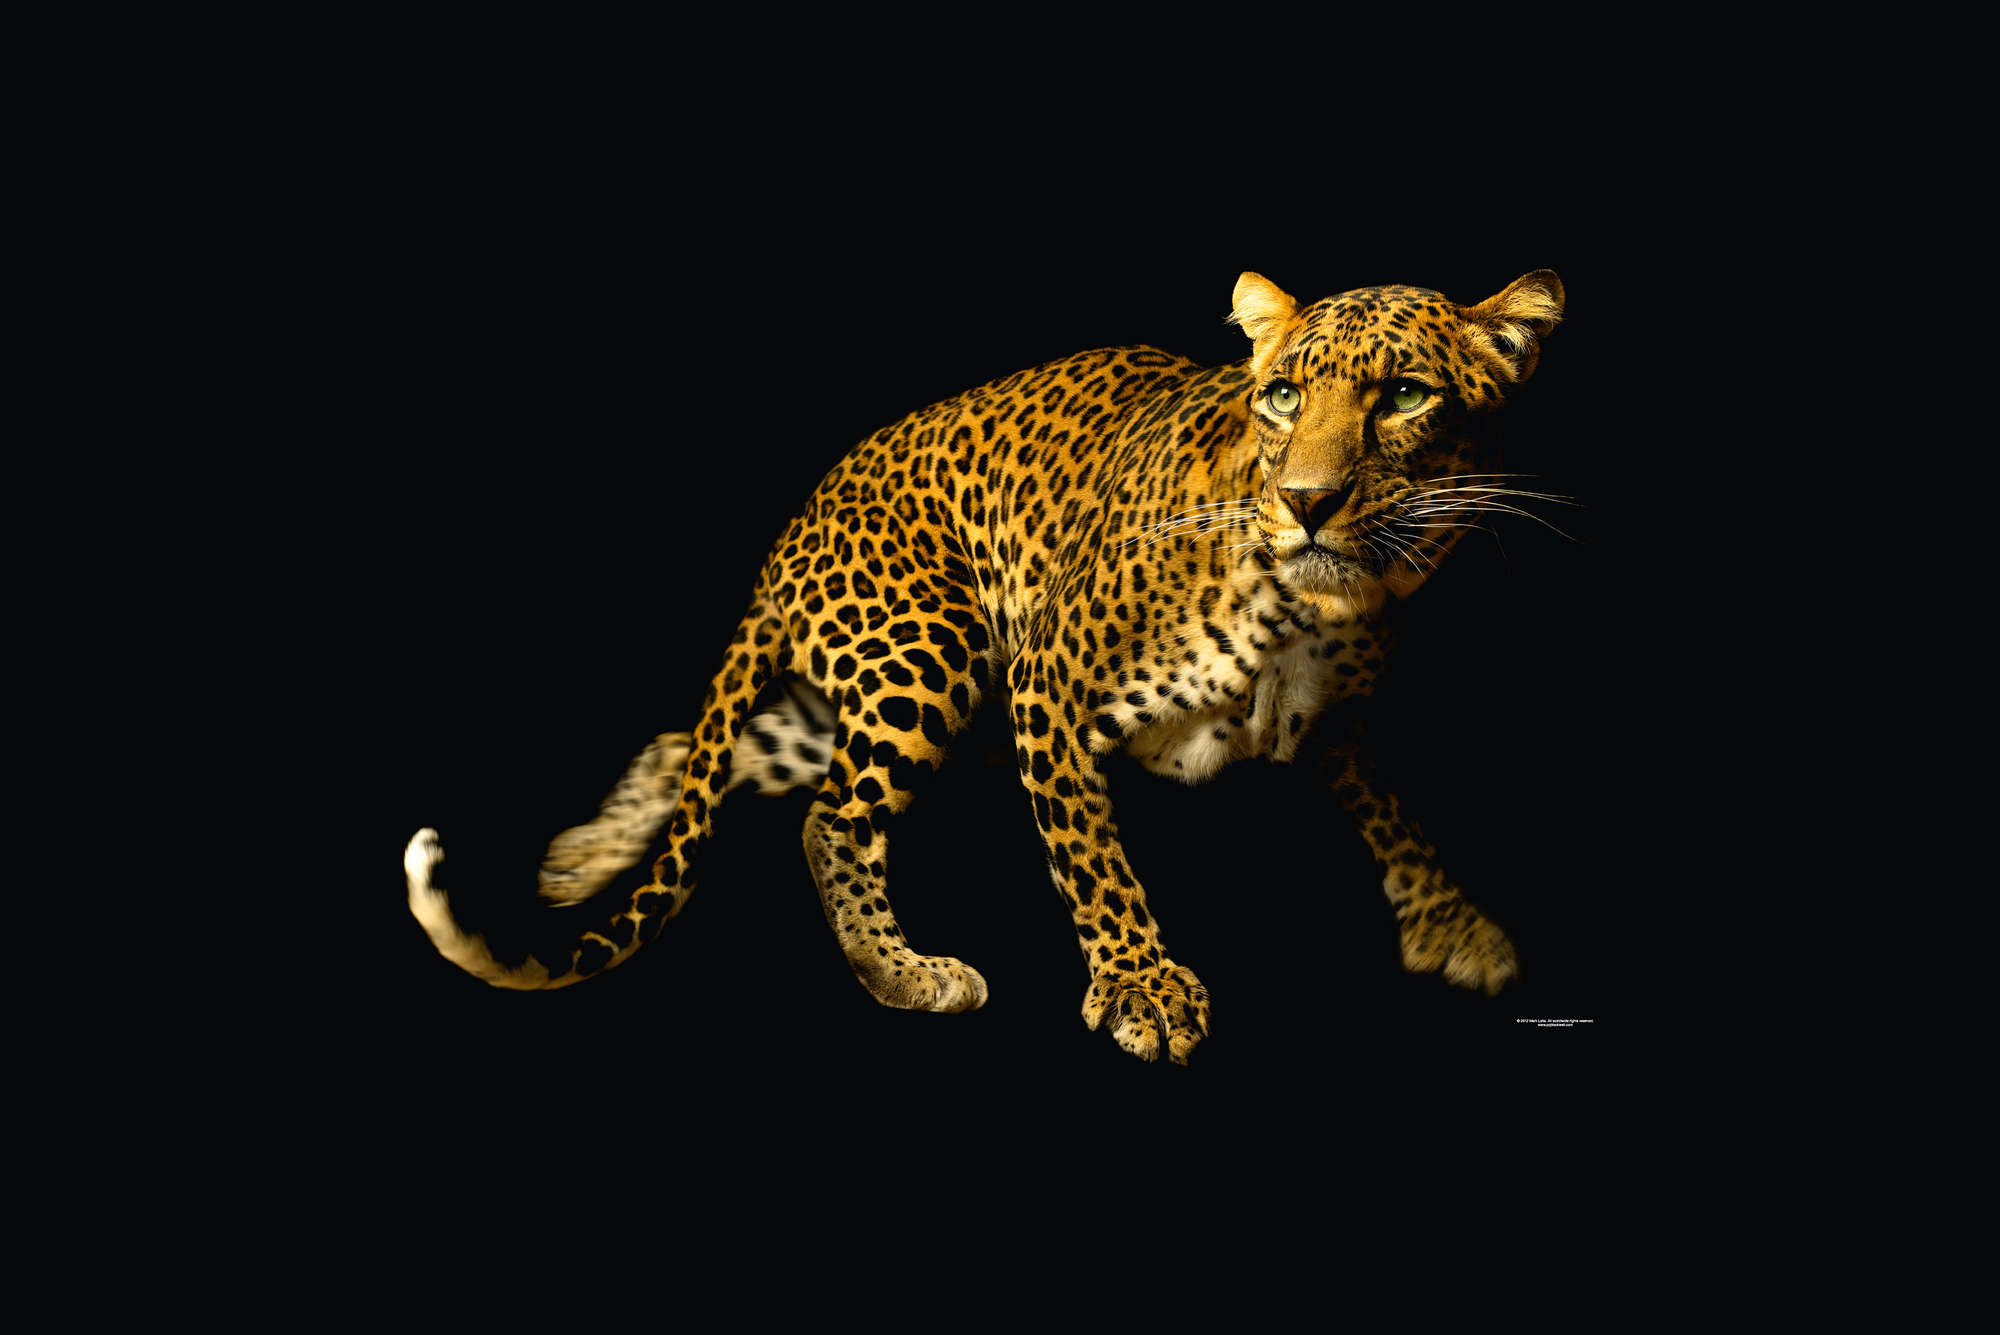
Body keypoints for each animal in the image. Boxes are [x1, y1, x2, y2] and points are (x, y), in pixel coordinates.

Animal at [405, 268, 1566, 1065]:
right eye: (1281, 396)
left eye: (1404, 395)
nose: (1307, 501)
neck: (1306, 606)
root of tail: (791, 531)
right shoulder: (1046, 680)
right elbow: (1092, 858)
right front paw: (1142, 989)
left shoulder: (1333, 725)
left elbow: (1390, 809)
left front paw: (1450, 920)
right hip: (933, 652)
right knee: (828, 819)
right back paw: (905, 976)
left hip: (865, 692)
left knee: (695, 748)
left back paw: (580, 859)